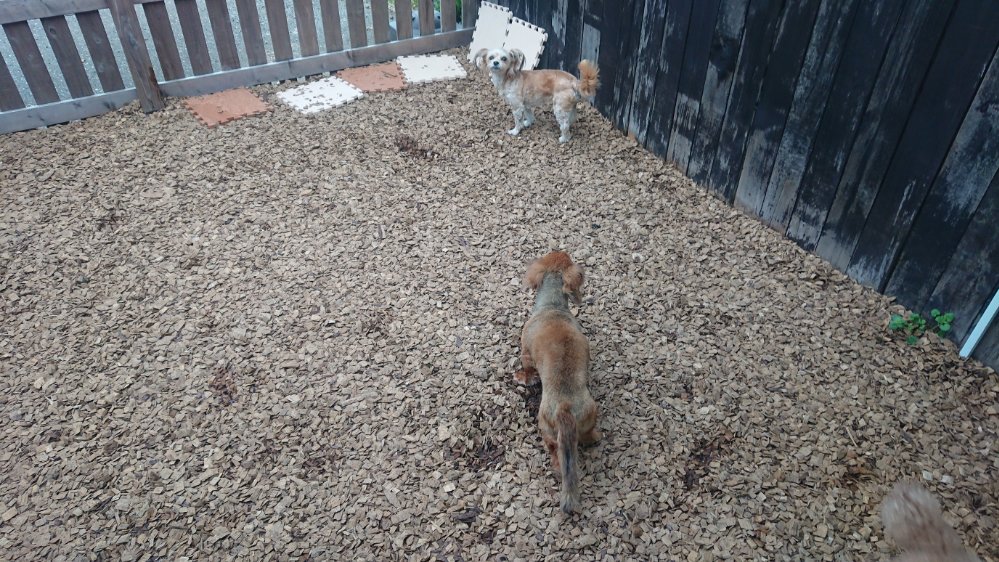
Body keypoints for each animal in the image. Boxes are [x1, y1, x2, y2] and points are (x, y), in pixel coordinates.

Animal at [514, 251, 600, 512]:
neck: (552, 306)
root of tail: (564, 408)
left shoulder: (526, 353)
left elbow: (527, 368)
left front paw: (524, 378)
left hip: (546, 427)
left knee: (554, 450)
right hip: (589, 415)